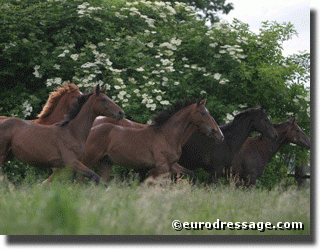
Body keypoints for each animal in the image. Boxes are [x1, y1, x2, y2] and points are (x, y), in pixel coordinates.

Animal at [81, 98, 224, 183]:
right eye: (203, 113)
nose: (219, 134)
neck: (167, 135)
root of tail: (92, 128)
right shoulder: (161, 167)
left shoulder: (170, 166)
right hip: (89, 159)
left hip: (106, 162)